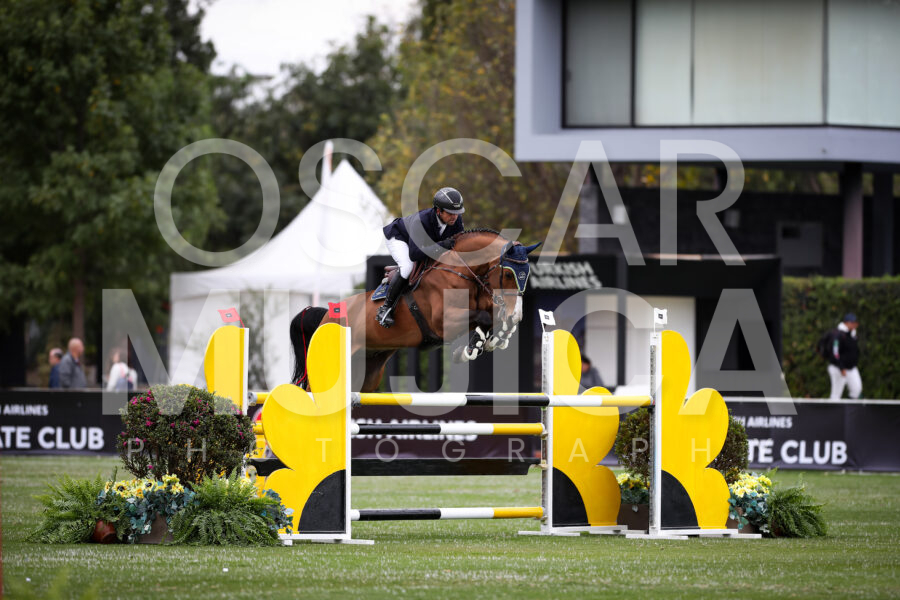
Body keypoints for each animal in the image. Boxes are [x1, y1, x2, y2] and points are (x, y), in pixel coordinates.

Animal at [289, 228, 541, 392]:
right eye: (507, 274)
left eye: (526, 275)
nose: (516, 314)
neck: (461, 271)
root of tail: (325, 315)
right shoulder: (443, 322)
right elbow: (483, 316)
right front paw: (472, 347)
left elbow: (489, 316)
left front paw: (491, 340)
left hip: (368, 370)